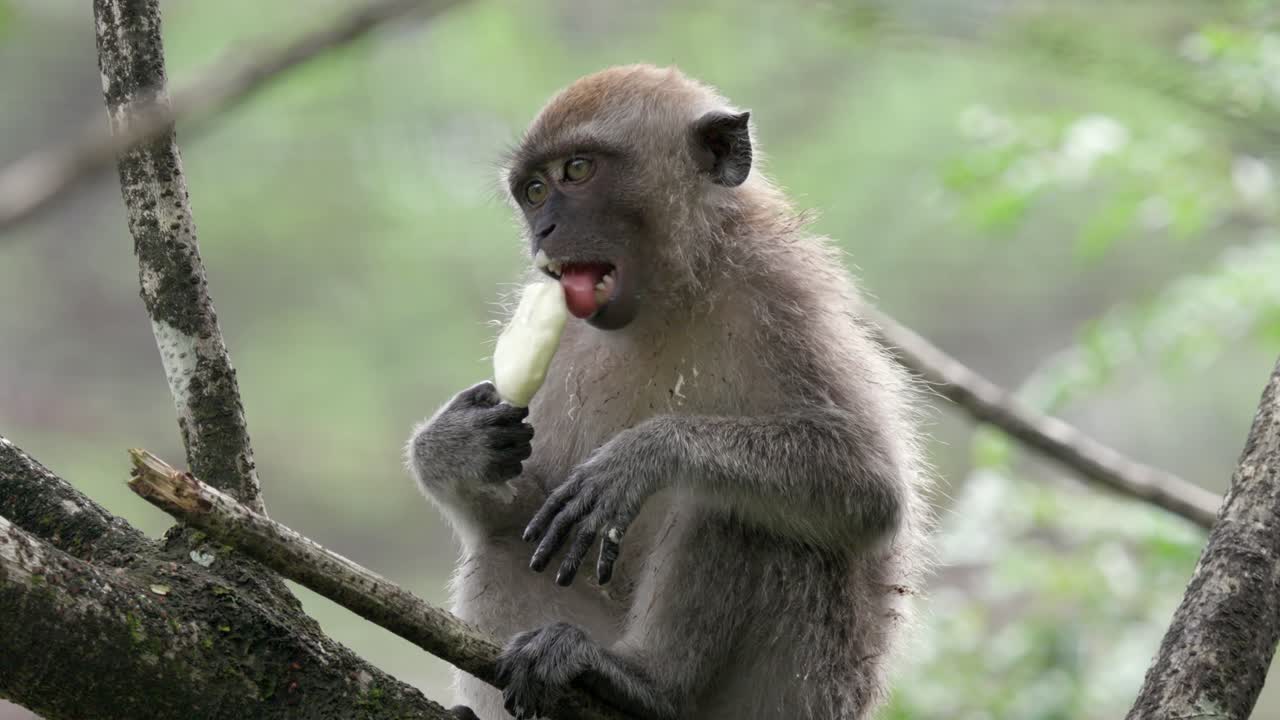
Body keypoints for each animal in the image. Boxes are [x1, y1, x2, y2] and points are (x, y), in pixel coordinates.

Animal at [406, 64, 933, 720]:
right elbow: (526, 513)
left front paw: (644, 455)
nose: (544, 231)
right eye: (533, 191)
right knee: (505, 543)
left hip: (799, 689)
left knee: (732, 504)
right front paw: (455, 447)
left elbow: (870, 487)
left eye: (576, 171)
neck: (671, 297)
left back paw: (644, 682)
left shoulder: (783, 297)